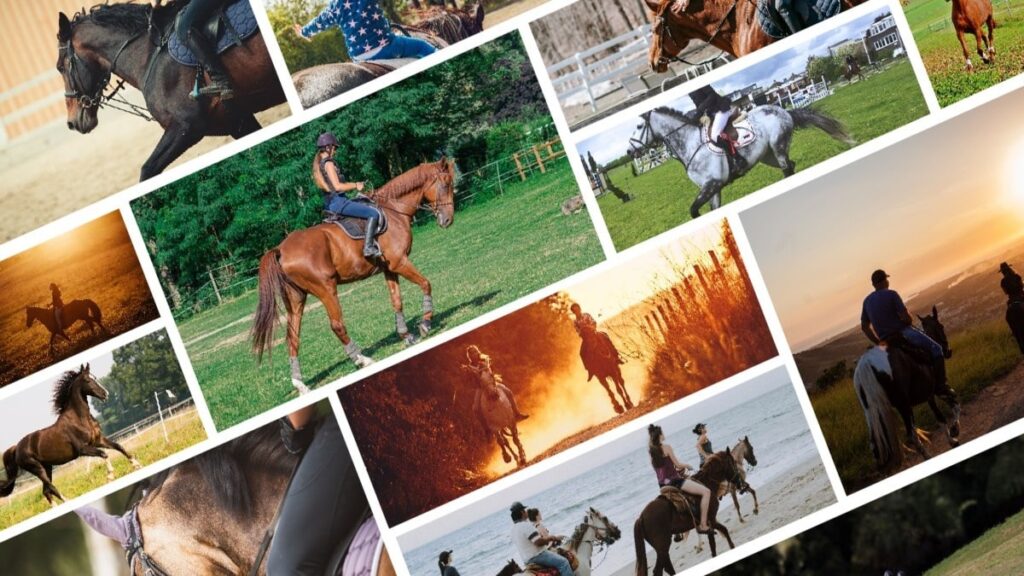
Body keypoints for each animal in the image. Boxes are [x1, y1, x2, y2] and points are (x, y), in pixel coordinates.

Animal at [0, 364, 140, 505]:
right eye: (88, 380)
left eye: (94, 378)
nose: (105, 394)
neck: (79, 419)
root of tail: (17, 448)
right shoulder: (82, 449)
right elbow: (103, 454)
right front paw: (110, 476)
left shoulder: (98, 440)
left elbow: (118, 446)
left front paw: (136, 464)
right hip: (37, 468)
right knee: (51, 488)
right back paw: (67, 500)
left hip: (47, 467)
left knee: (46, 491)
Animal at [56, 2, 286, 181]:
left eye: (60, 67)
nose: (72, 123)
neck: (151, 55)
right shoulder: (237, 121)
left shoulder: (186, 127)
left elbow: (147, 171)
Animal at [252, 158, 457, 394]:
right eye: (445, 185)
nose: (448, 220)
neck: (394, 210)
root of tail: (281, 249)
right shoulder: (400, 263)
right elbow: (426, 284)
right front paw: (425, 324)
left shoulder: (390, 269)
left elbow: (397, 301)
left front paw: (406, 335)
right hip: (326, 289)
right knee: (337, 325)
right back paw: (361, 358)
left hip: (296, 298)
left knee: (292, 336)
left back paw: (300, 384)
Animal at [630, 106, 853, 219]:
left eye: (639, 126)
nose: (630, 151)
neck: (691, 143)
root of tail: (784, 111)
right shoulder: (713, 189)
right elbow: (711, 210)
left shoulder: (712, 184)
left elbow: (694, 211)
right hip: (768, 156)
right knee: (791, 166)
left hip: (778, 146)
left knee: (787, 168)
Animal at [853, 306, 961, 473]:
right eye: (941, 326)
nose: (948, 351)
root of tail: (867, 362)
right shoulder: (937, 389)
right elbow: (954, 403)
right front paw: (955, 431)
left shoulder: (929, 395)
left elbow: (940, 417)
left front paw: (952, 439)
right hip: (904, 405)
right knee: (911, 435)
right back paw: (928, 457)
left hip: (874, 410)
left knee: (875, 445)